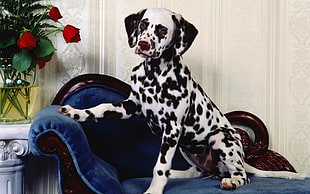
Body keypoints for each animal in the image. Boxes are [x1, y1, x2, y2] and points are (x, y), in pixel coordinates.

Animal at [60, 7, 306, 194]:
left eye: (162, 29)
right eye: (143, 25)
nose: (143, 45)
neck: (154, 75)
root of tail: (243, 157)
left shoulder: (172, 129)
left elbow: (160, 165)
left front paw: (154, 190)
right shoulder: (131, 106)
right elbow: (101, 108)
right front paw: (76, 113)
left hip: (220, 139)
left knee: (241, 175)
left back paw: (232, 181)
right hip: (187, 149)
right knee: (200, 172)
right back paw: (178, 174)